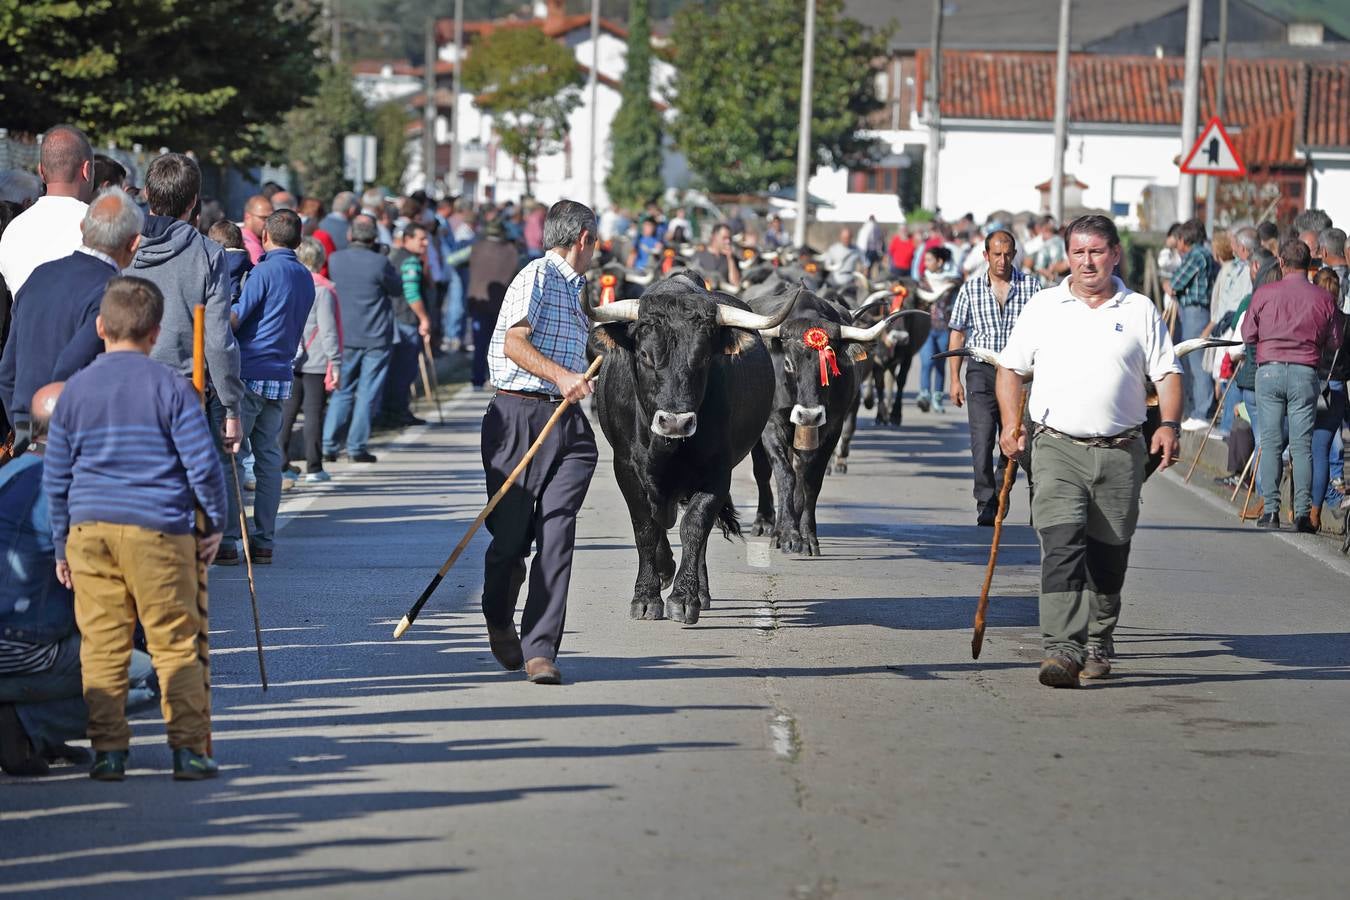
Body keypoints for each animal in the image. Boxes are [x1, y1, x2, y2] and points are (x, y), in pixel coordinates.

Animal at [585, 271, 793, 623]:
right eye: (644, 355)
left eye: (705, 357)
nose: (675, 422)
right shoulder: (624, 468)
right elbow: (646, 527)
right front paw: (646, 595)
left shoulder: (717, 473)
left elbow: (694, 527)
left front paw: (683, 598)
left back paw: (701, 592)